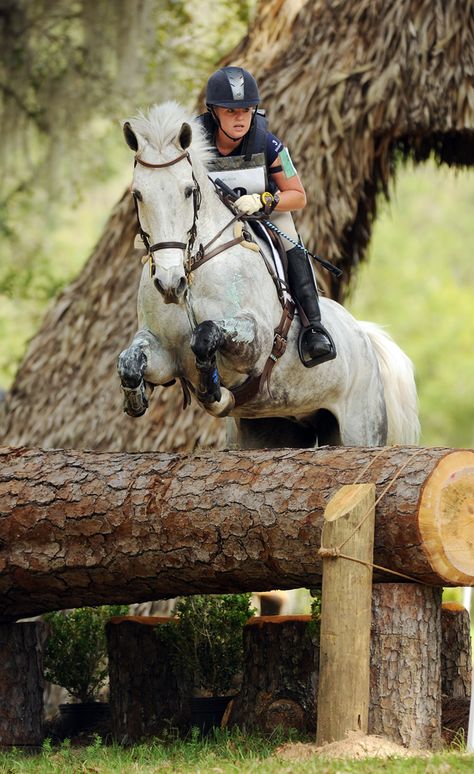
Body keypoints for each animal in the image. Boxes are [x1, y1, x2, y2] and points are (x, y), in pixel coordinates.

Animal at [117, 106, 418, 452]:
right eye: (138, 194)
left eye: (188, 191)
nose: (170, 284)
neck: (195, 267)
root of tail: (365, 337)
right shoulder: (164, 353)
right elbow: (129, 361)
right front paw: (136, 398)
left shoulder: (255, 341)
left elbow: (206, 334)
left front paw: (214, 393)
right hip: (270, 428)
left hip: (360, 427)